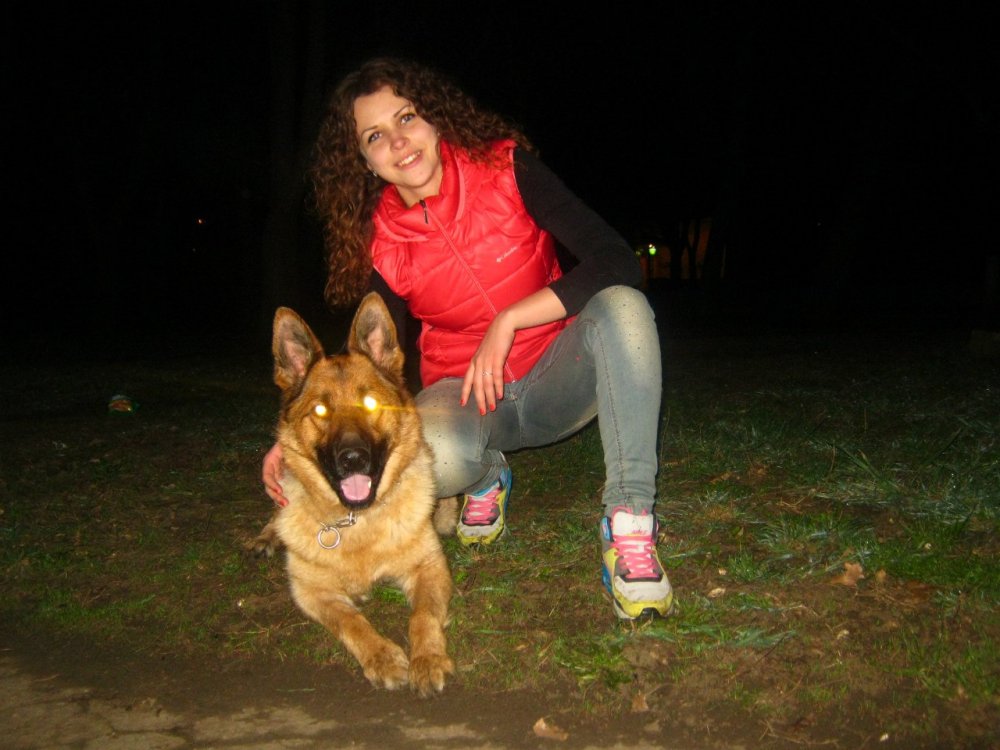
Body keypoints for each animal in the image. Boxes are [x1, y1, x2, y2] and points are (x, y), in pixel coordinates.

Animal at [252, 292, 454, 696]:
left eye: (371, 404)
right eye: (320, 409)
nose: (353, 459)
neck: (357, 520)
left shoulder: (430, 567)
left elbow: (422, 616)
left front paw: (428, 659)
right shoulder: (311, 591)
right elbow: (351, 621)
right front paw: (382, 657)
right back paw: (266, 537)